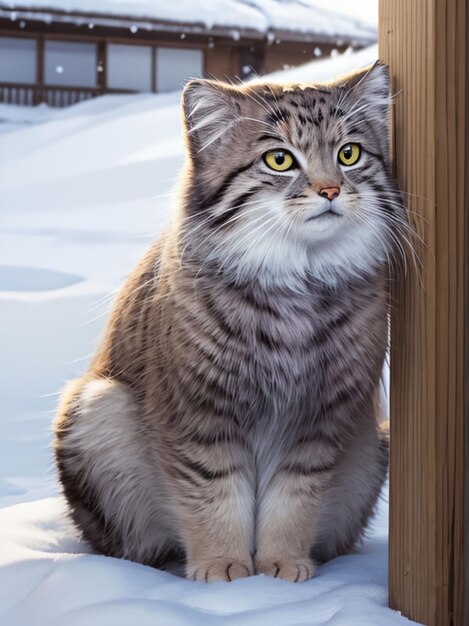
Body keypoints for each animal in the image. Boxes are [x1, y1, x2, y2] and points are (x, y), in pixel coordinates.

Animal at [54, 62, 404, 580]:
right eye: (279, 160)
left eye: (349, 153)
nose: (331, 190)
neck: (295, 287)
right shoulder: (199, 415)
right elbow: (213, 496)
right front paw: (223, 567)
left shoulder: (320, 421)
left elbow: (292, 501)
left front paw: (280, 565)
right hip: (98, 408)